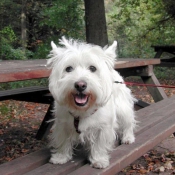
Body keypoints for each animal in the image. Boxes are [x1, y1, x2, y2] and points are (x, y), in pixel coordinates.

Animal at [46, 36, 137, 168]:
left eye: (93, 68)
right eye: (68, 69)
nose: (80, 85)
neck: (82, 110)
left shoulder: (103, 127)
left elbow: (99, 144)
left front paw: (99, 160)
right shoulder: (62, 124)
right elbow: (63, 140)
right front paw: (60, 157)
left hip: (122, 107)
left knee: (128, 122)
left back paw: (128, 137)